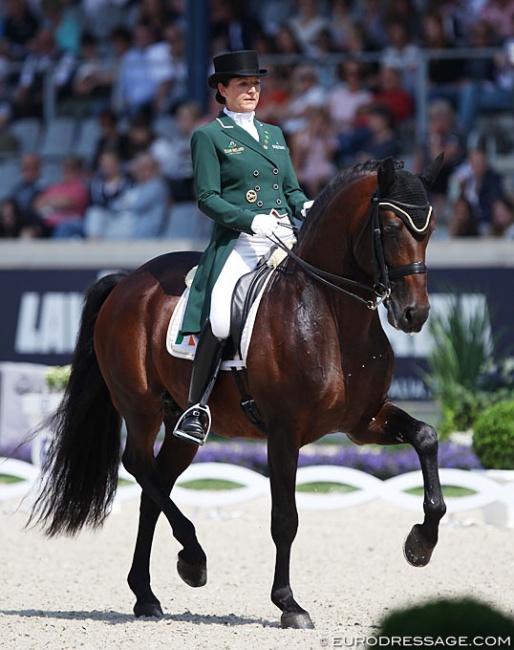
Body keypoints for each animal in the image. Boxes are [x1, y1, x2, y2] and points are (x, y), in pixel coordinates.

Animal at [29, 153, 444, 628]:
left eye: (430, 229)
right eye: (390, 228)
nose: (414, 314)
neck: (333, 316)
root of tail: (128, 282)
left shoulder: (363, 421)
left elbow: (427, 438)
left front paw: (420, 543)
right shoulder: (283, 432)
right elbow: (285, 518)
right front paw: (288, 604)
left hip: (180, 422)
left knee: (156, 484)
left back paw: (147, 593)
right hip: (139, 407)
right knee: (137, 464)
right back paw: (193, 559)